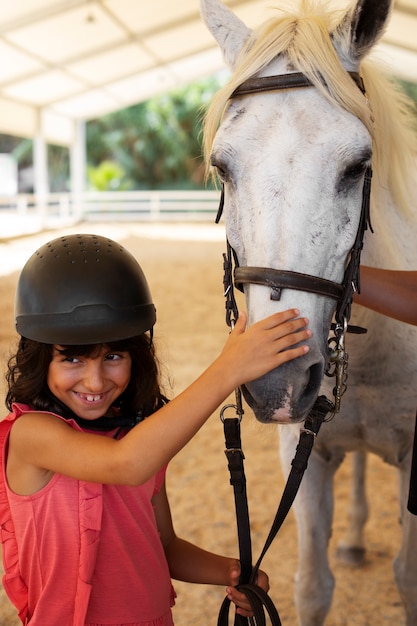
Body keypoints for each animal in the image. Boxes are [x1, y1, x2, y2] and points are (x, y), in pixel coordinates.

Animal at [200, 0, 416, 620]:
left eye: (358, 165)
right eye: (223, 167)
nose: (279, 383)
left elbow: (408, 578)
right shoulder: (303, 452)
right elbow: (311, 587)